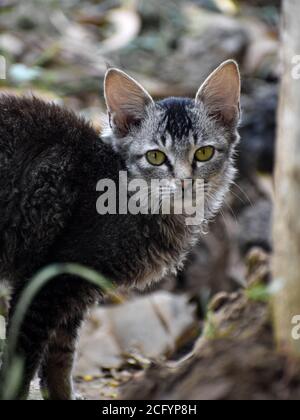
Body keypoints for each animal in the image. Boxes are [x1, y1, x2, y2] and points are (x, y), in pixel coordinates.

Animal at [0, 60, 240, 400]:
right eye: (156, 157)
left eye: (203, 153)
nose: (184, 182)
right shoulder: (44, 282)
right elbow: (21, 366)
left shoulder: (72, 291)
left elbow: (60, 360)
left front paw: (62, 394)